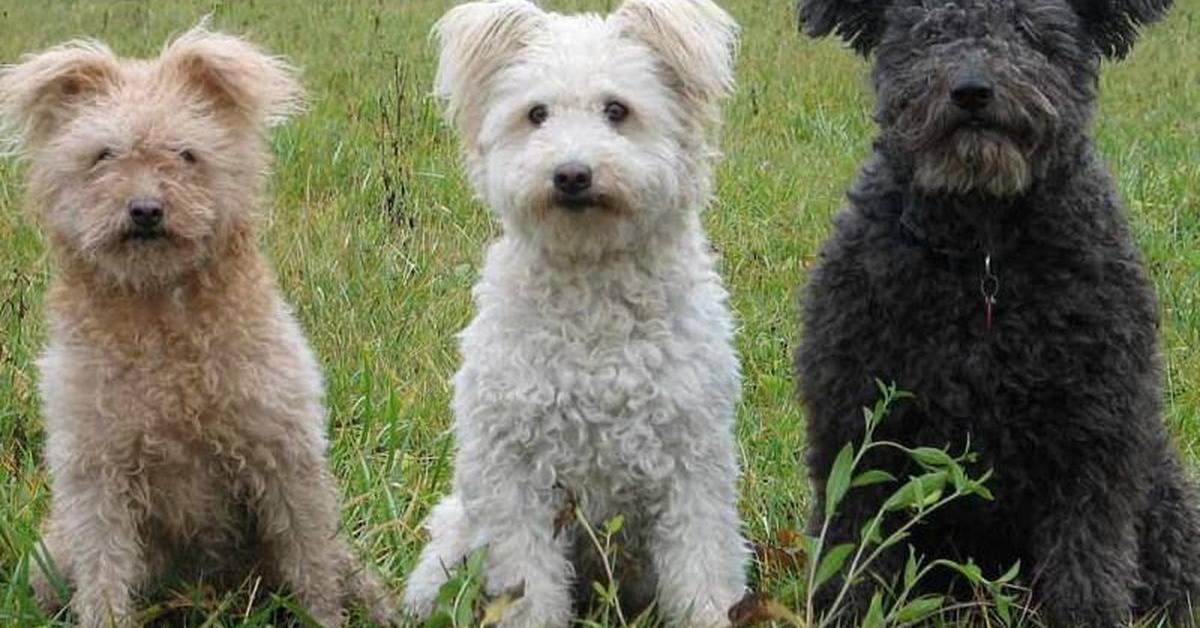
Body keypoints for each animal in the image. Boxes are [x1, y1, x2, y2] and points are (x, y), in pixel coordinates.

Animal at [1, 25, 393, 628]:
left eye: (186, 154)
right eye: (102, 156)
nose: (145, 210)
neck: (162, 323)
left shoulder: (283, 456)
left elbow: (310, 566)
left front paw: (324, 619)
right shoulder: (96, 478)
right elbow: (105, 575)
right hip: (52, 553)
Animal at [403, 1, 748, 628]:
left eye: (617, 110)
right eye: (536, 114)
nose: (571, 174)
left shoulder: (692, 463)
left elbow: (702, 567)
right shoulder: (514, 475)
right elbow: (529, 587)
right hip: (458, 538)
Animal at [796, 0, 1200, 624]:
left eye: (1028, 28)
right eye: (927, 31)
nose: (971, 90)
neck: (983, 254)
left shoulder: (1093, 442)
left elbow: (1088, 564)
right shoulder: (858, 425)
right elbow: (854, 548)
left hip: (1163, 495)